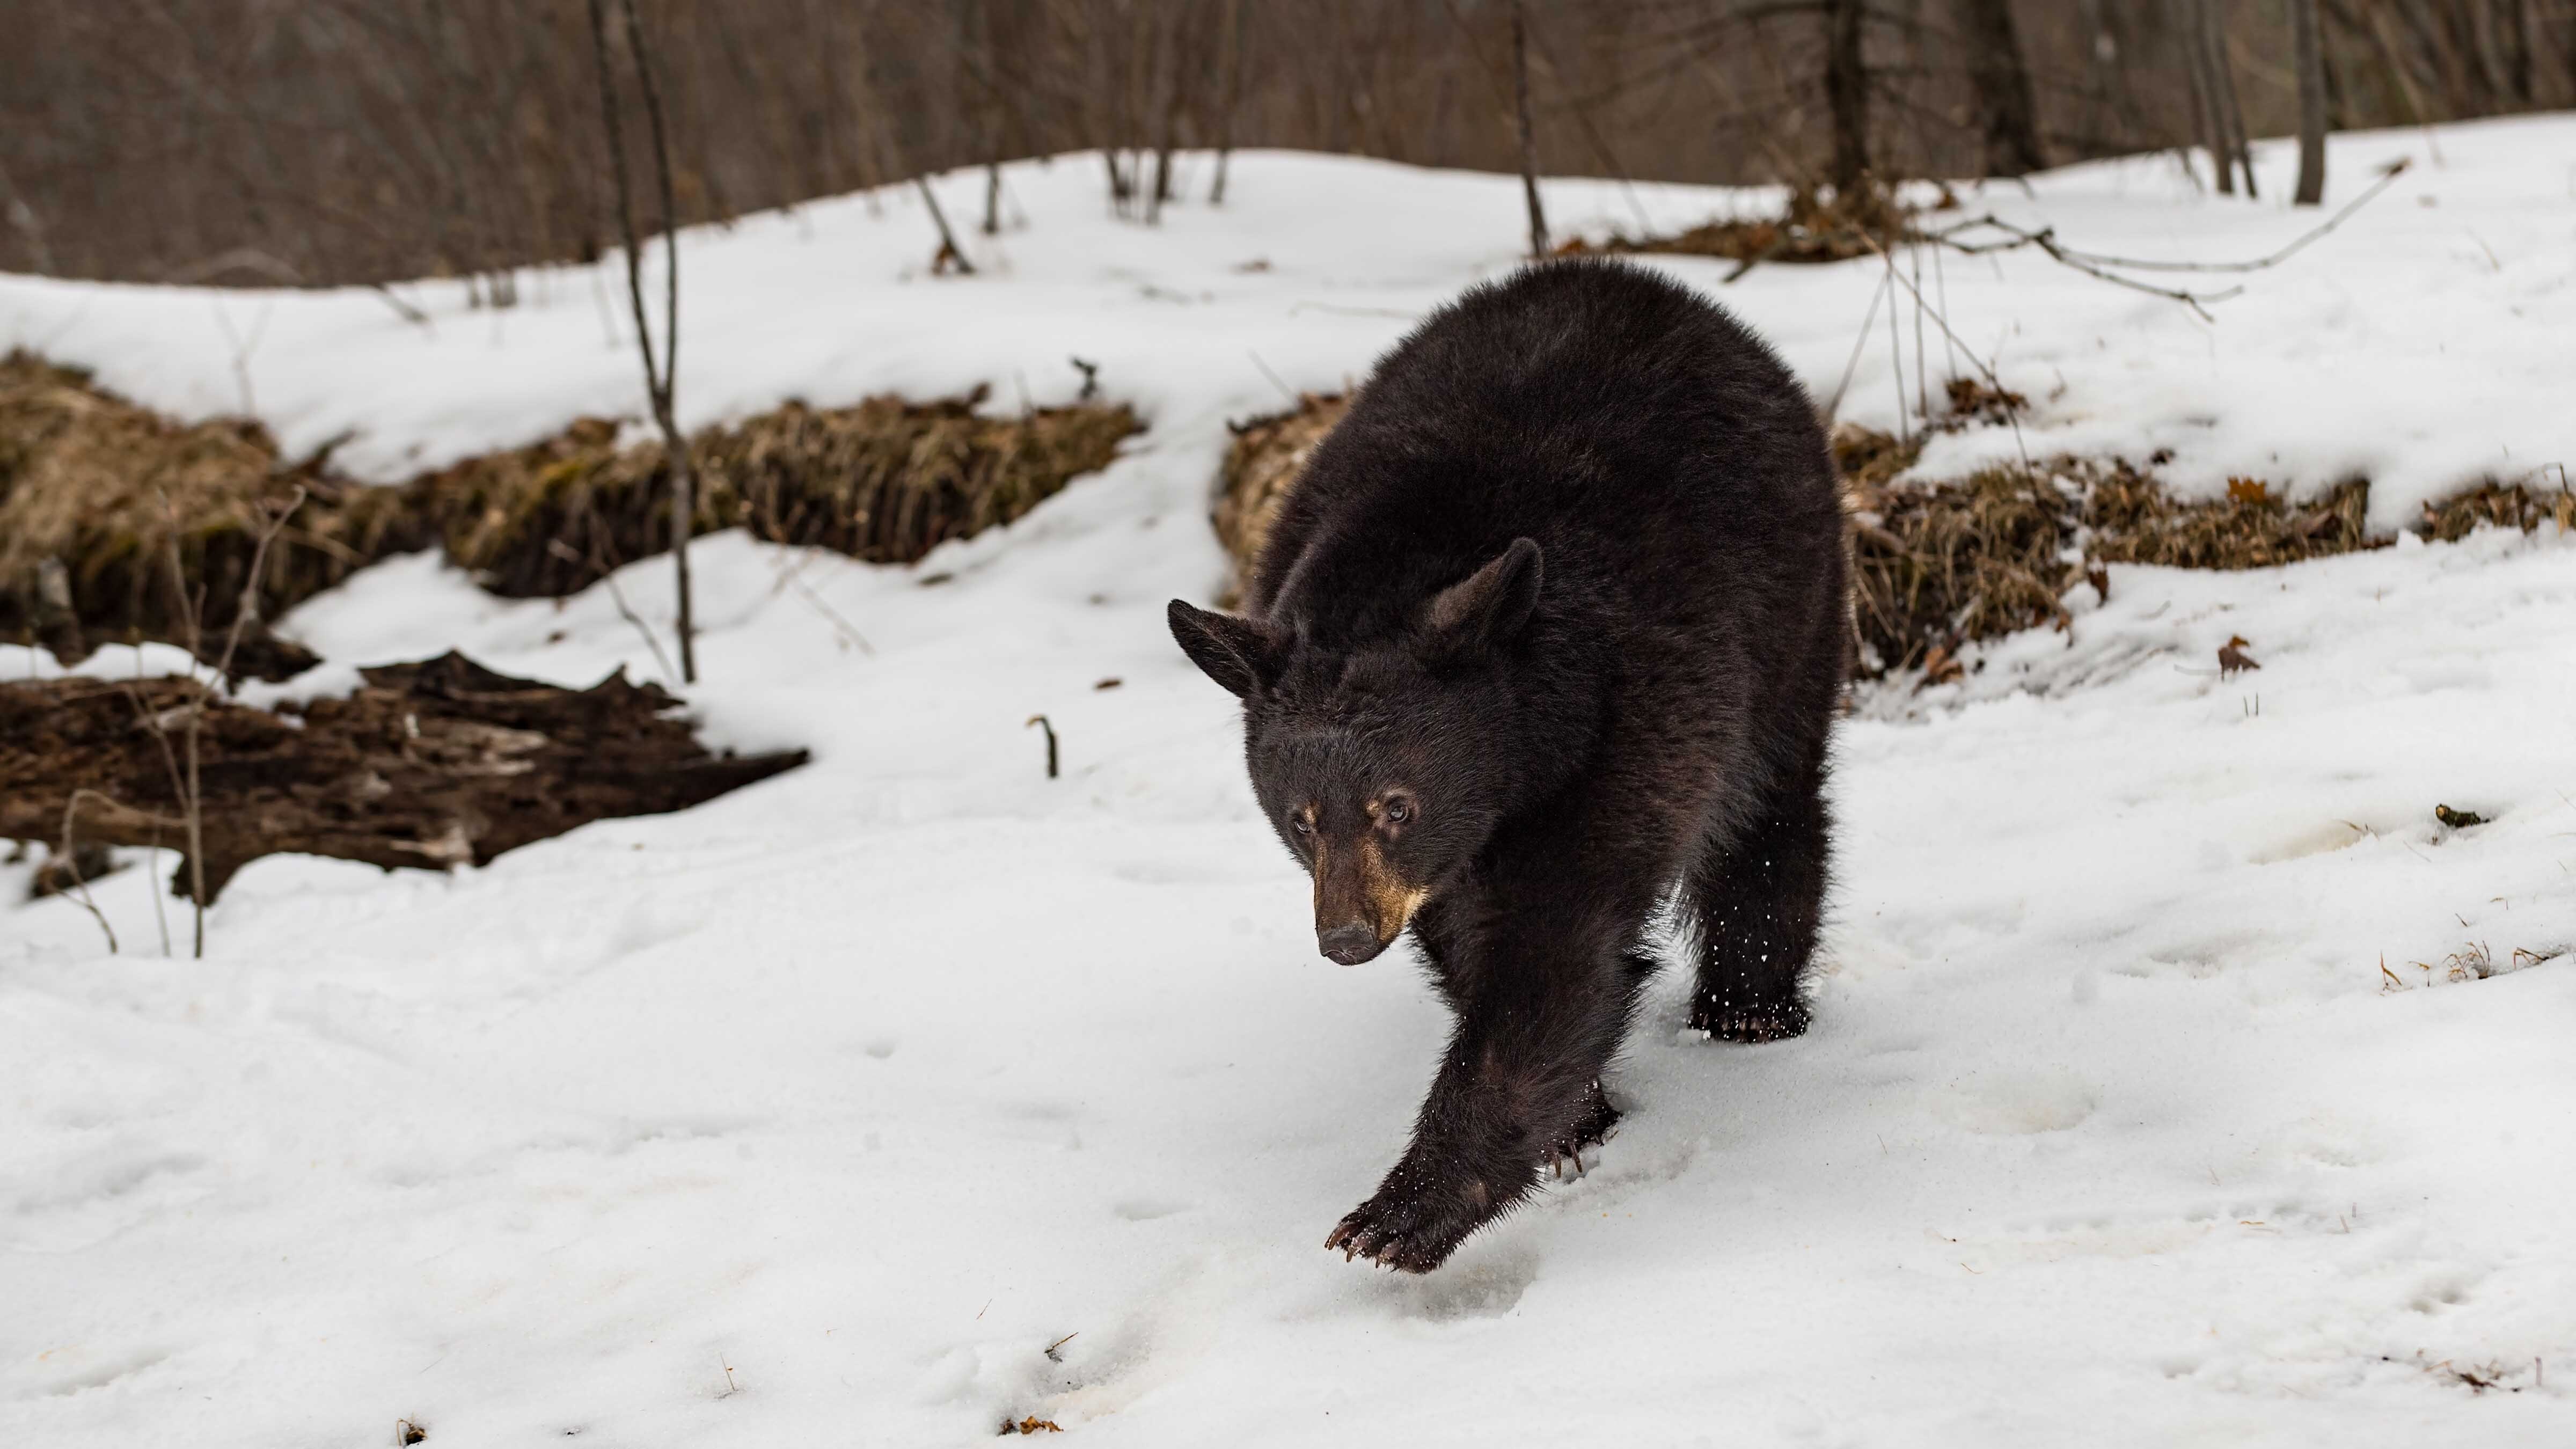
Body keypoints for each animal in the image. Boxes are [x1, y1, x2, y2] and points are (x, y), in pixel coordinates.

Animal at [1167, 259, 1849, 1273]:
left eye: (1397, 804)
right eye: (1300, 820)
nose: (1346, 940)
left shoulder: (1625, 718)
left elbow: (1554, 955)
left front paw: (1402, 1212)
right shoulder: (1444, 867)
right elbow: (1470, 948)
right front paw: (1578, 1122)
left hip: (1794, 610)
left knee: (1774, 806)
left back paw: (1751, 1004)